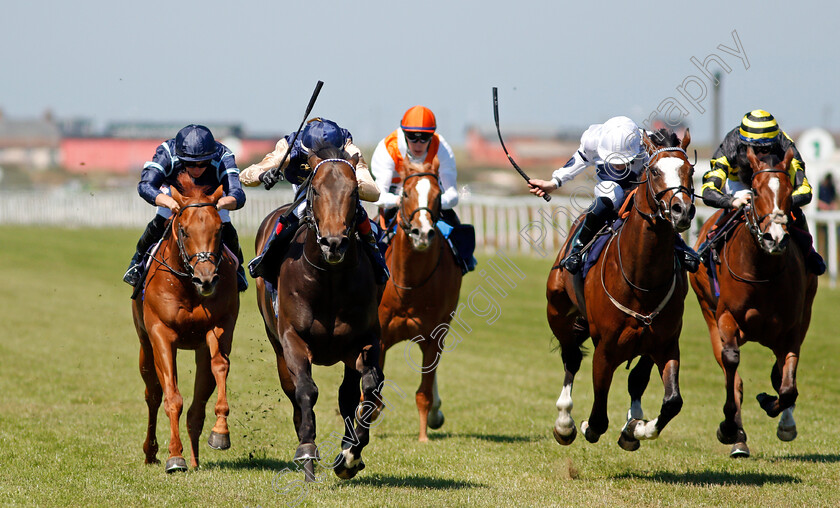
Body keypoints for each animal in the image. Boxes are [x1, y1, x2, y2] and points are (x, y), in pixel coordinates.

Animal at [130, 173, 240, 474]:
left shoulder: (219, 326)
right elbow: (171, 397)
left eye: (219, 230)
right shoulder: (161, 334)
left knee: (197, 407)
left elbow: (220, 367)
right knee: (153, 394)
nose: (207, 279)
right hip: (145, 347)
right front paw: (173, 457)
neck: (188, 287)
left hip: (199, 349)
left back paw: (194, 459)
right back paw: (152, 452)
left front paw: (221, 433)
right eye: (184, 230)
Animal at [253, 146, 384, 480]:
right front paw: (307, 452)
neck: (329, 280)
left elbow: (368, 390)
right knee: (293, 391)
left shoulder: (364, 341)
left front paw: (350, 455)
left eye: (354, 191)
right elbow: (306, 391)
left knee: (348, 393)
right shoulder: (292, 339)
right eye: (316, 189)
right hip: (276, 345)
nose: (333, 243)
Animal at [378, 159, 462, 440]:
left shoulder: (434, 336)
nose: (422, 233)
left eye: (438, 195)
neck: (408, 286)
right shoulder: (380, 336)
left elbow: (424, 392)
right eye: (405, 193)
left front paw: (423, 436)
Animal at [544, 129, 696, 450]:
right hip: (558, 312)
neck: (642, 281)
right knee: (571, 358)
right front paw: (585, 424)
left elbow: (670, 400)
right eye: (654, 171)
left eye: (689, 170)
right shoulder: (606, 347)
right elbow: (598, 417)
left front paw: (636, 428)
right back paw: (564, 422)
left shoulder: (664, 342)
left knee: (635, 379)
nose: (682, 210)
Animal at [684, 146, 816, 456]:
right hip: (708, 313)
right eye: (754, 191)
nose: (774, 238)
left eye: (789, 189)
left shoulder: (792, 328)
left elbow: (787, 385)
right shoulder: (725, 317)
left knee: (780, 375)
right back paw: (738, 437)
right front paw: (729, 427)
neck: (761, 273)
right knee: (733, 374)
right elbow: (732, 365)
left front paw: (773, 407)